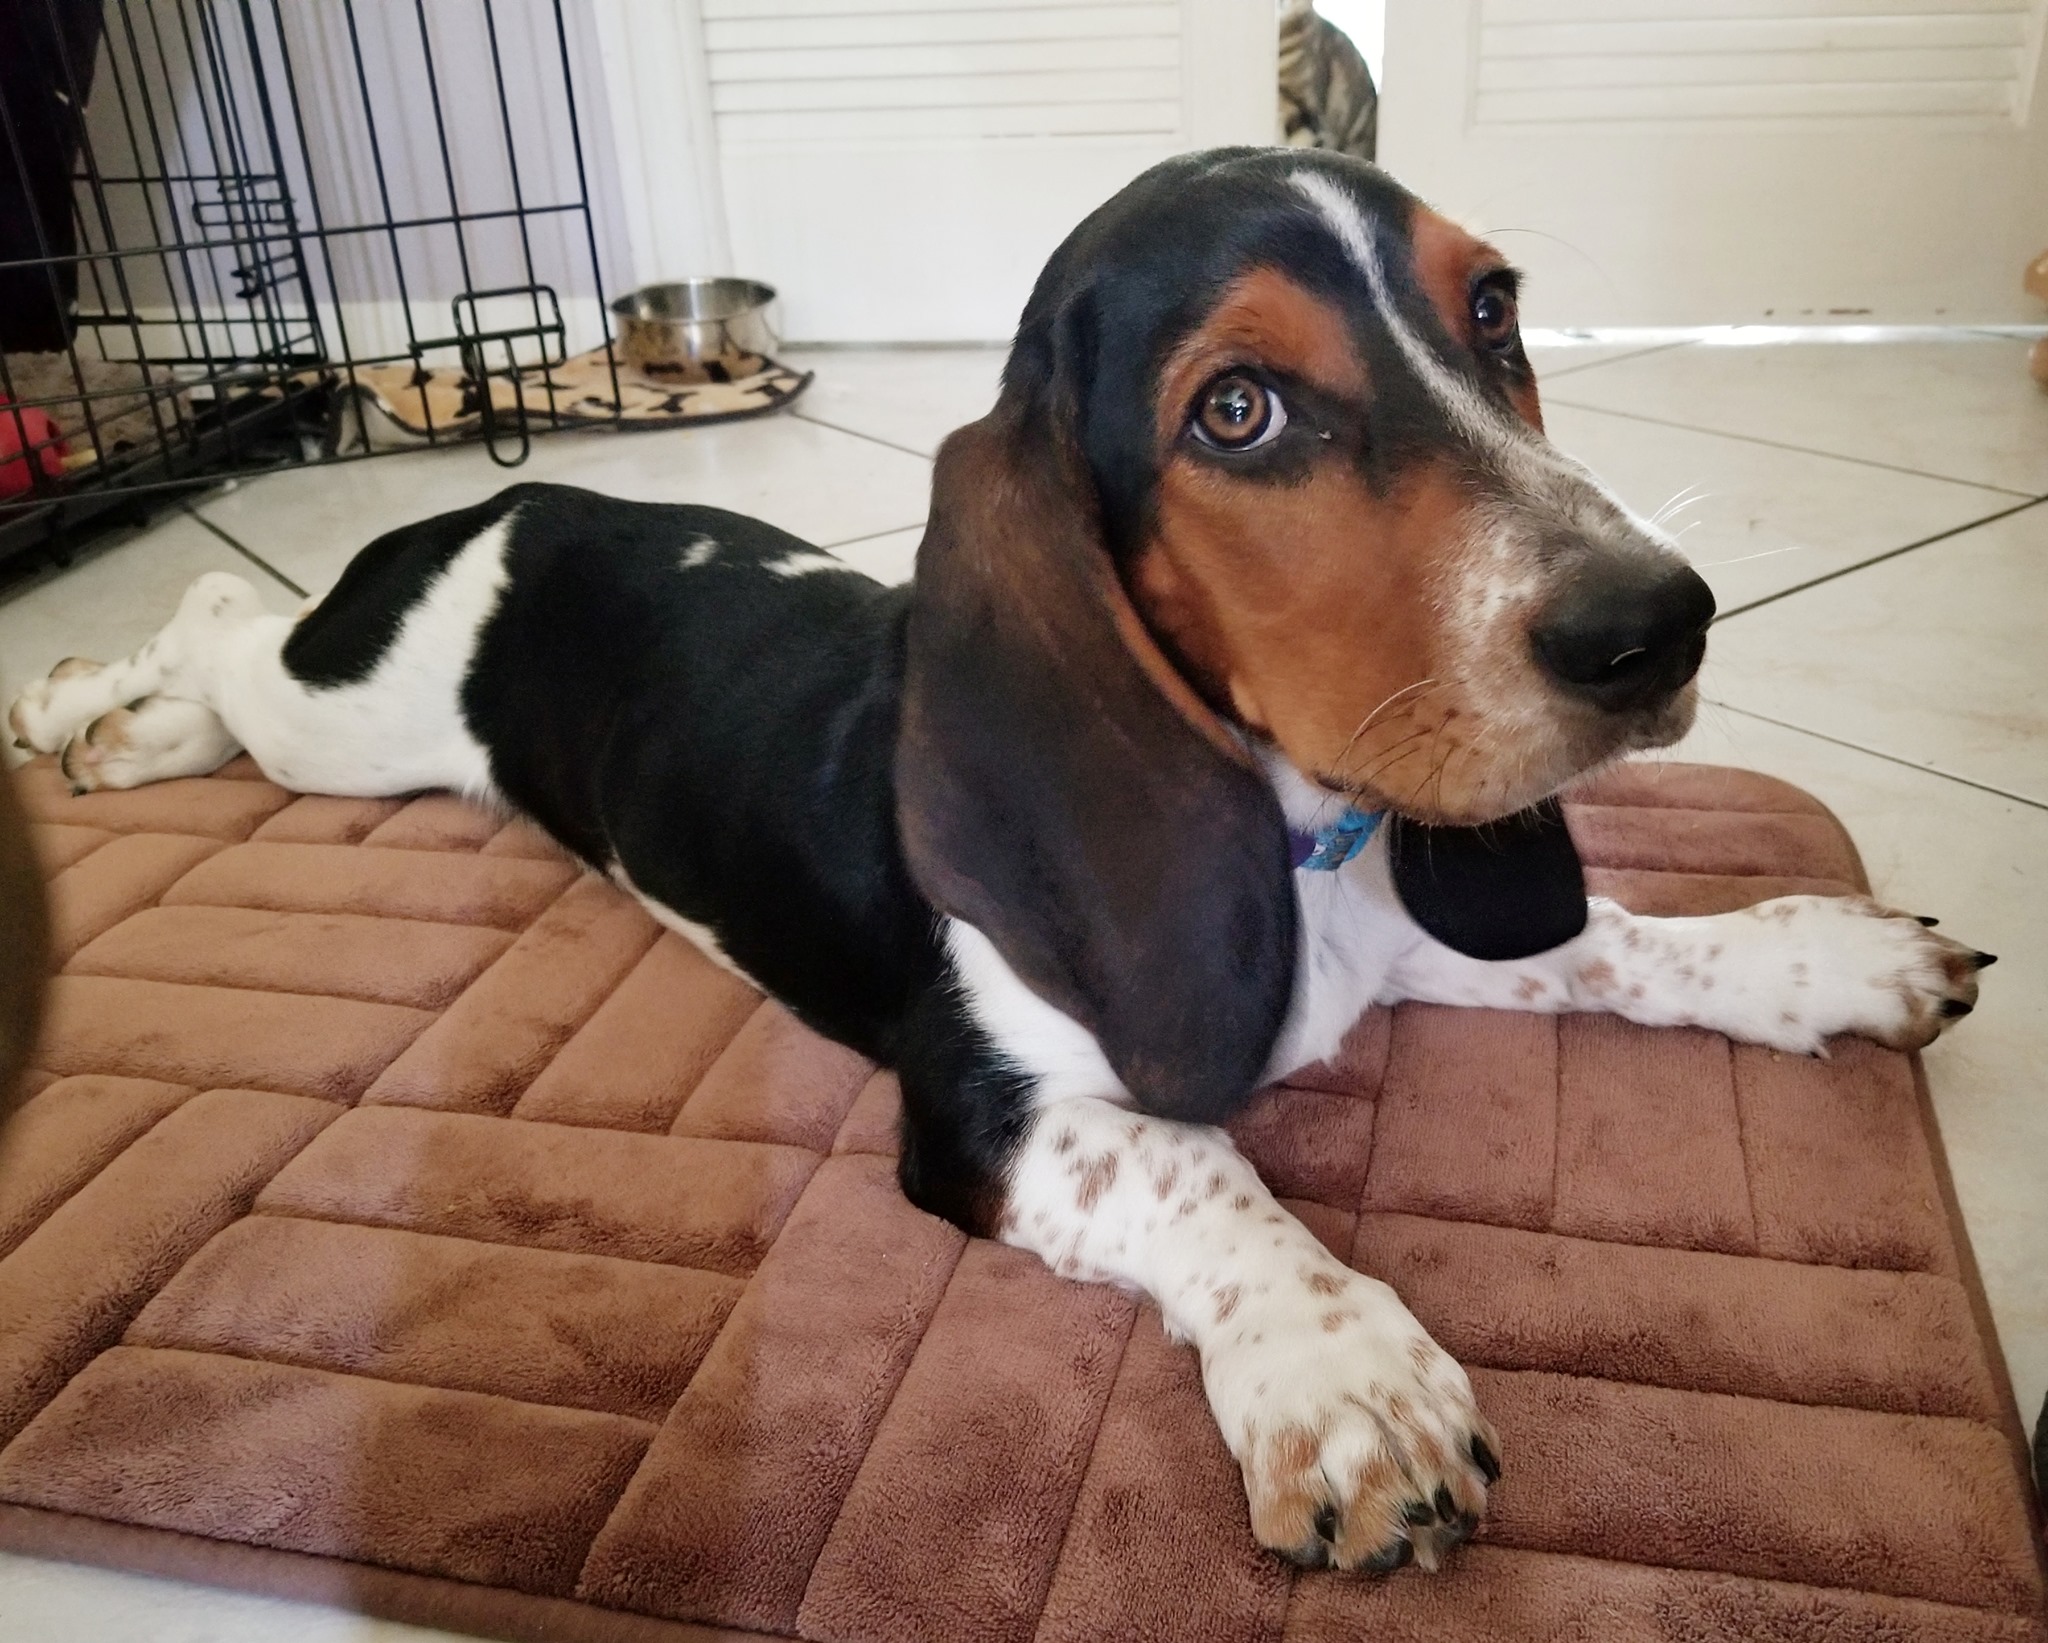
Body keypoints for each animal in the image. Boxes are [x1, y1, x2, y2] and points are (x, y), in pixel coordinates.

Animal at [8, 153, 1990, 1573]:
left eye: (1492, 308)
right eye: (1238, 409)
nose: (1657, 622)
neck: (1296, 824)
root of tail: (513, 491)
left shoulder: (1410, 920)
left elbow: (1627, 942)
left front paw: (1829, 956)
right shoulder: (985, 1112)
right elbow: (1202, 1169)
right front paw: (1348, 1377)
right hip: (352, 719)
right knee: (214, 615)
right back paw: (87, 708)